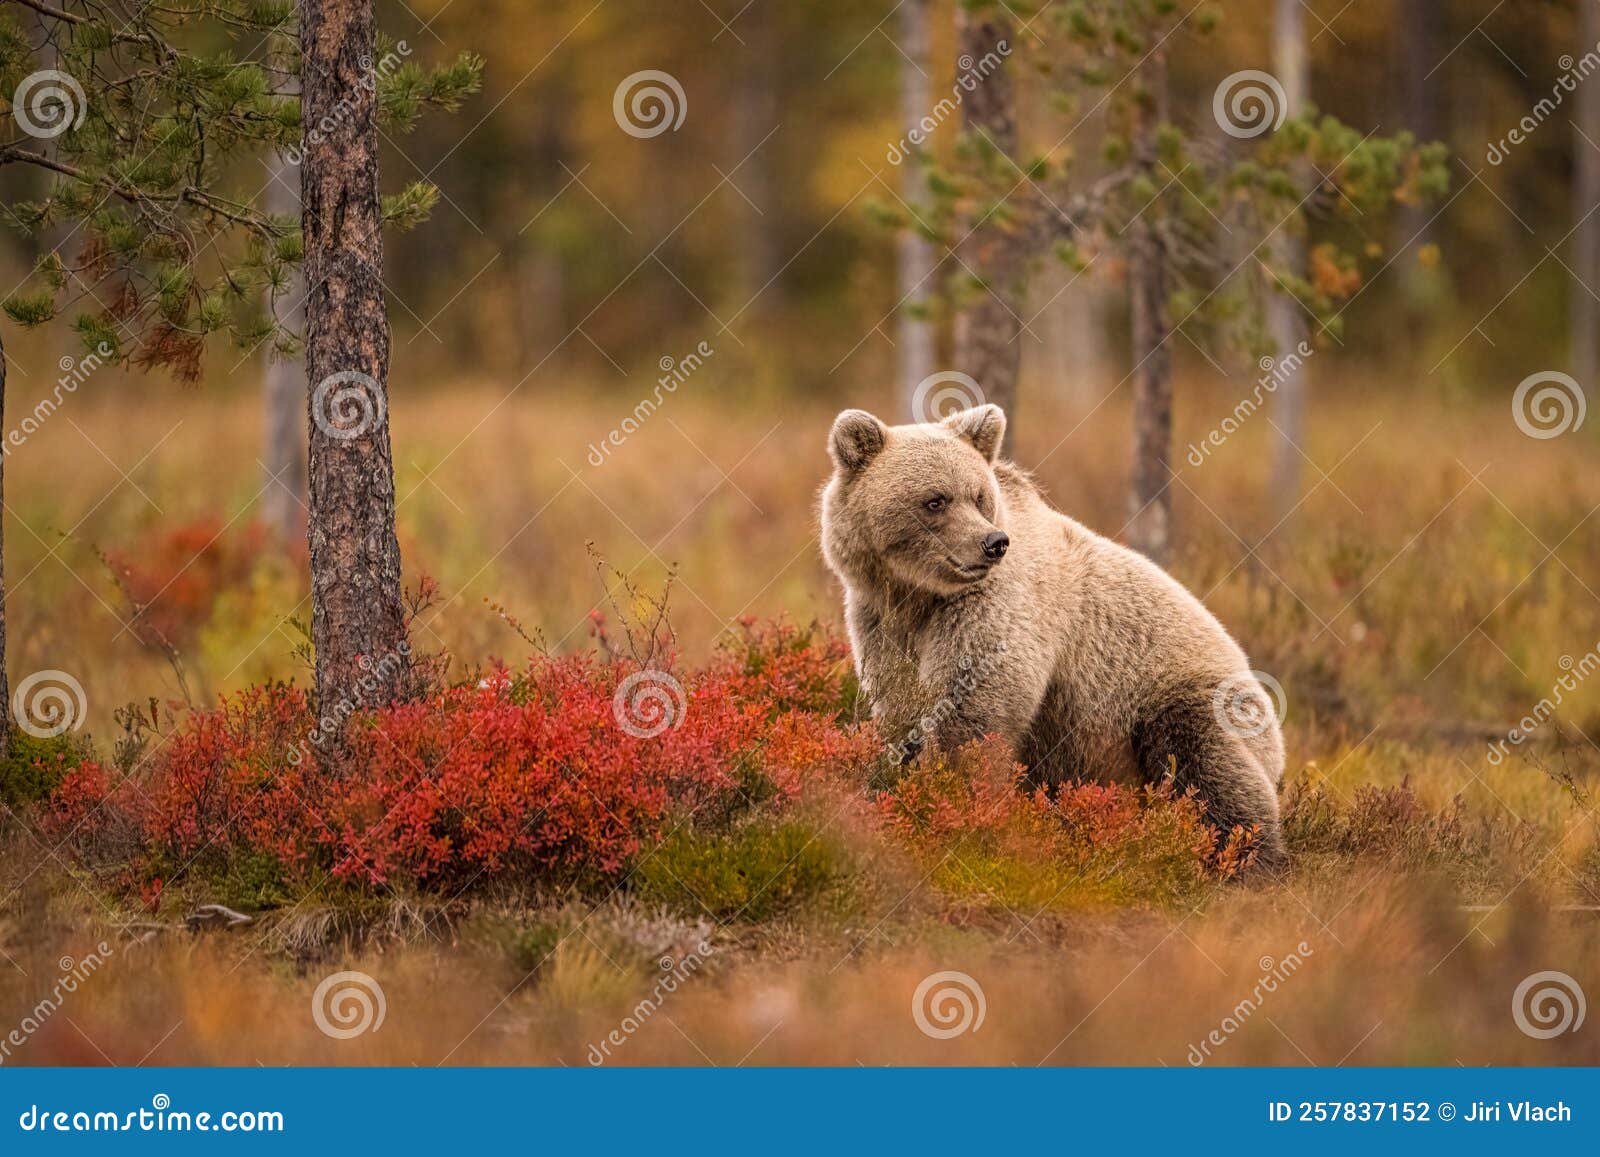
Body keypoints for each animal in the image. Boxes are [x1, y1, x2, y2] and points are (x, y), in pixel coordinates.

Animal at [825, 408, 1286, 870]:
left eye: (978, 496)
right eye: (936, 500)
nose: (992, 543)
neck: (918, 595)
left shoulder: (994, 611)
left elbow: (972, 709)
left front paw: (954, 794)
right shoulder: (881, 622)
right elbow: (900, 705)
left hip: (1184, 696)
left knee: (1210, 768)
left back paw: (1249, 858)